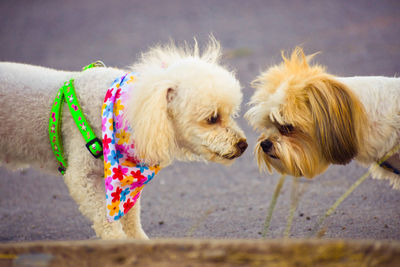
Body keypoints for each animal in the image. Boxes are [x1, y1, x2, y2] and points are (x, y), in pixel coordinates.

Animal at [0, 39, 247, 241]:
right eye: (212, 118)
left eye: (231, 114)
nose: (243, 145)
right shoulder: (81, 177)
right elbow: (106, 221)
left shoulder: (125, 188)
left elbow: (131, 218)